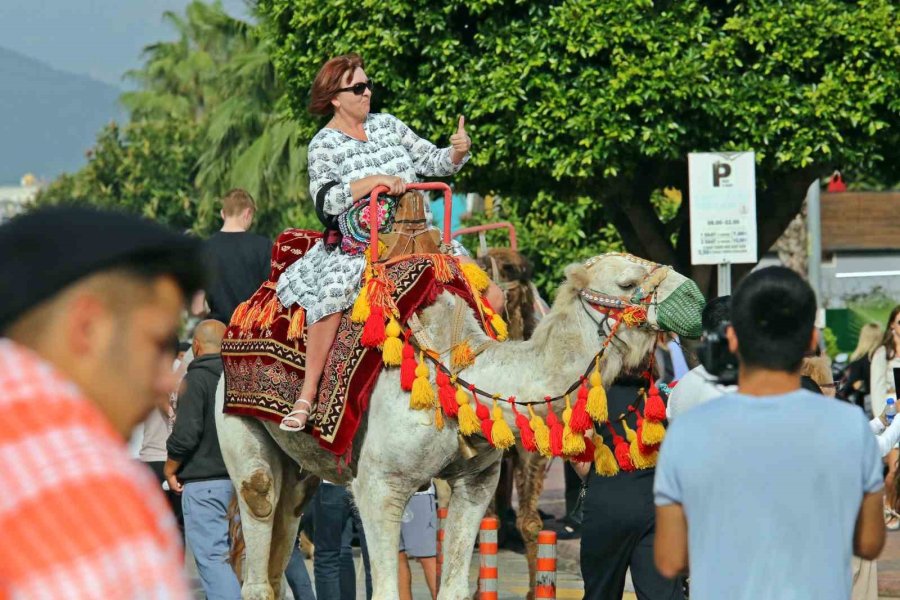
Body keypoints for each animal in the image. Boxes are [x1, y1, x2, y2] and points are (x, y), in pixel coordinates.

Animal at [216, 252, 704, 600]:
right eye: (627, 283)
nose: (697, 300)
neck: (461, 374)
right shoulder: (380, 484)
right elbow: (387, 591)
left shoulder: (477, 480)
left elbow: (453, 586)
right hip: (239, 424)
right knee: (259, 515)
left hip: (301, 470)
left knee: (284, 536)